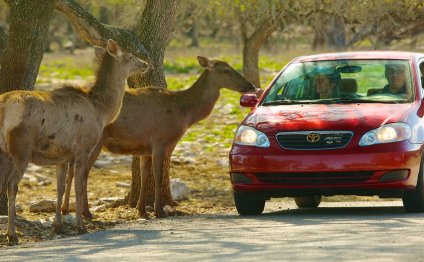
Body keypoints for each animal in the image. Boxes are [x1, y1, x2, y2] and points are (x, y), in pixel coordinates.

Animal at [0, 40, 149, 245]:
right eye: (130, 56)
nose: (146, 64)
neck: (102, 110)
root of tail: (4, 107)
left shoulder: (61, 155)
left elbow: (60, 188)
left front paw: (58, 225)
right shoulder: (83, 148)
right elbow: (79, 185)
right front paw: (81, 225)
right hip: (22, 148)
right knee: (12, 184)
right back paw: (12, 234)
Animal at [61, 55, 256, 219]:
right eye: (226, 70)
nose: (251, 86)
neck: (185, 114)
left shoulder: (145, 147)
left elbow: (145, 175)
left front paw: (141, 210)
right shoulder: (159, 141)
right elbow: (158, 176)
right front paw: (159, 210)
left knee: (71, 171)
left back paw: (65, 209)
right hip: (95, 141)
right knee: (82, 173)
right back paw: (86, 213)